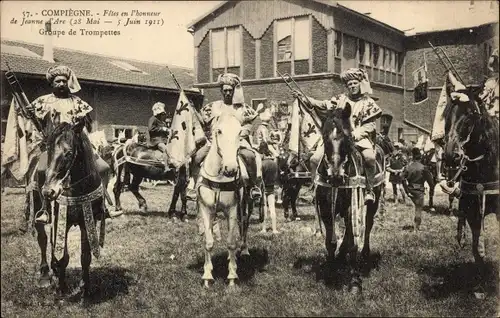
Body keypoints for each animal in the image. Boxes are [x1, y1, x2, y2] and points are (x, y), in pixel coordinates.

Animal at [39, 120, 107, 300]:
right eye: (48, 149)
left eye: (69, 153)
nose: (48, 192)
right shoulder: (59, 222)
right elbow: (63, 257)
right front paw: (61, 288)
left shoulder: (87, 222)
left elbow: (86, 257)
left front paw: (85, 288)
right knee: (42, 240)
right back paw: (45, 274)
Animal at [198, 113, 247, 288]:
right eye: (218, 131)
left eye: (240, 132)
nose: (231, 169)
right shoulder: (206, 209)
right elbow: (208, 242)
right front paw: (207, 276)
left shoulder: (232, 209)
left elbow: (231, 242)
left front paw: (232, 276)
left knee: (243, 228)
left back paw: (243, 251)